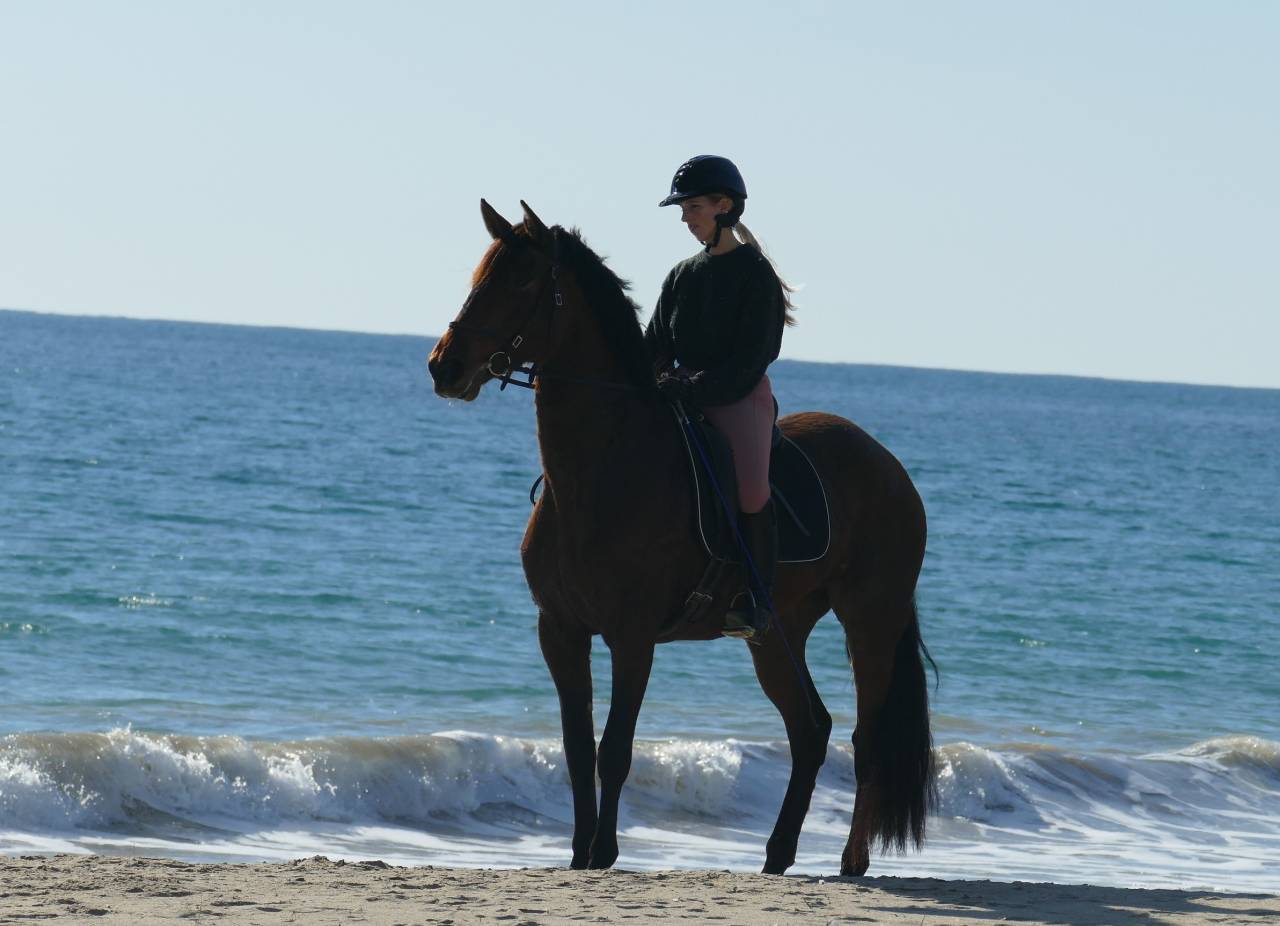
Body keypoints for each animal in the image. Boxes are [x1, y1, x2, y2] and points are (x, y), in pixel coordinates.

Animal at [427, 200, 936, 877]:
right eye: (479, 274)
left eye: (521, 280)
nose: (445, 367)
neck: (603, 467)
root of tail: (890, 466)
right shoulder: (560, 631)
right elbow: (575, 746)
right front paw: (578, 855)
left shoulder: (632, 635)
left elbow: (614, 749)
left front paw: (603, 853)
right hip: (775, 633)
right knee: (811, 730)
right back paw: (776, 855)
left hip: (870, 621)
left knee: (865, 734)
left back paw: (851, 859)